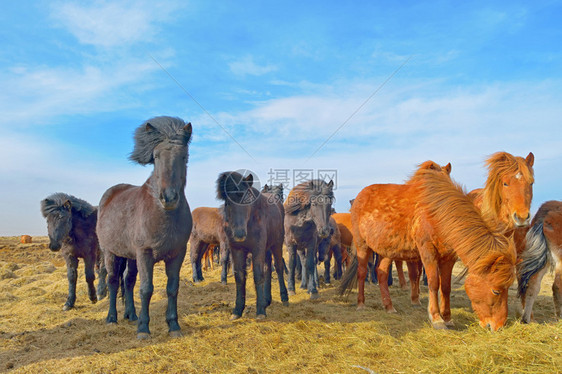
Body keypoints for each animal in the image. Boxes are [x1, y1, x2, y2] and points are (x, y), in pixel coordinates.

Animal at [96, 117, 192, 338]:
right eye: (156, 156)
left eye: (184, 156)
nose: (169, 198)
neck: (163, 215)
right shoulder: (145, 253)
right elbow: (146, 289)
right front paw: (143, 329)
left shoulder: (177, 253)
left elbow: (172, 288)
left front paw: (173, 325)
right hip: (110, 253)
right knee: (113, 281)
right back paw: (112, 318)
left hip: (131, 257)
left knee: (128, 281)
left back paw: (131, 314)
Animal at [215, 171, 288, 320]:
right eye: (227, 202)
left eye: (247, 199)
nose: (239, 234)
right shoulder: (236, 250)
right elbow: (239, 277)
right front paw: (237, 310)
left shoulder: (257, 249)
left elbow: (258, 275)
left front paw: (260, 311)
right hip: (267, 248)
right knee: (268, 267)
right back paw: (267, 300)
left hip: (277, 244)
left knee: (278, 267)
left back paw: (284, 298)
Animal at [336, 160, 450, 316]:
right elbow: (415, 274)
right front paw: (416, 300)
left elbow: (422, 275)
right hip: (362, 246)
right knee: (362, 272)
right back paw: (361, 303)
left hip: (385, 252)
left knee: (381, 273)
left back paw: (389, 306)